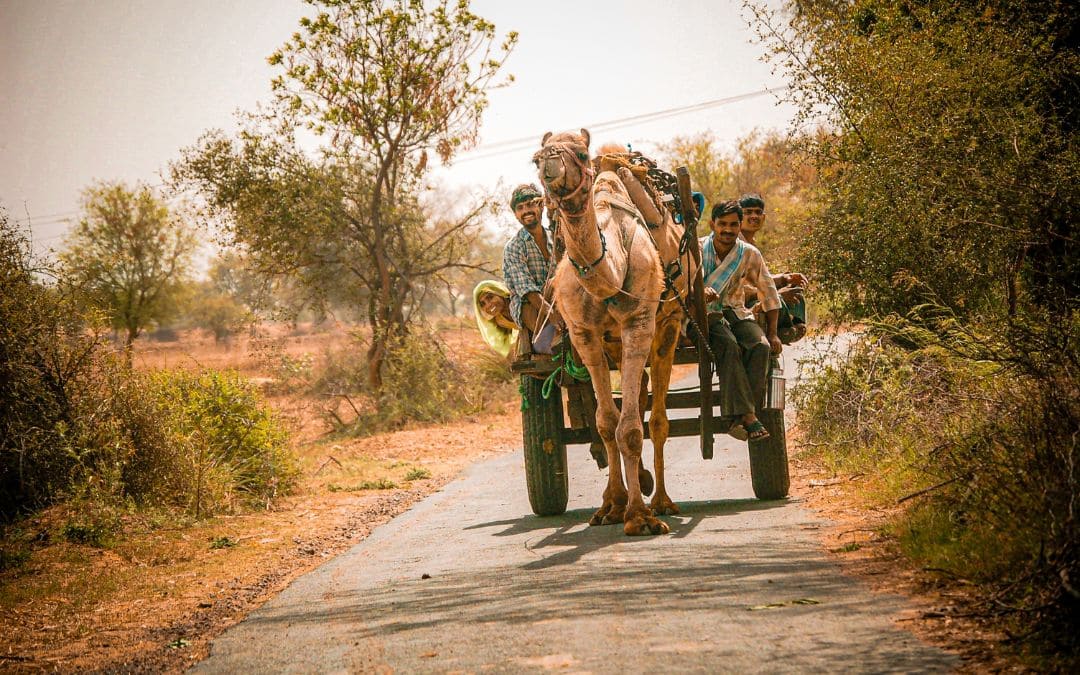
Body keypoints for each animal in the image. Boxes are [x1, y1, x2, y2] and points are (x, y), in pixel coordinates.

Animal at [533, 129, 699, 533]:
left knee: (657, 420)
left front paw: (639, 516)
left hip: (668, 325)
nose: (549, 163)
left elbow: (634, 428)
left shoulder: (639, 323)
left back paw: (662, 501)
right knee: (635, 402)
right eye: (535, 158)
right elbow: (607, 423)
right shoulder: (584, 335)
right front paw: (612, 505)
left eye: (580, 153)